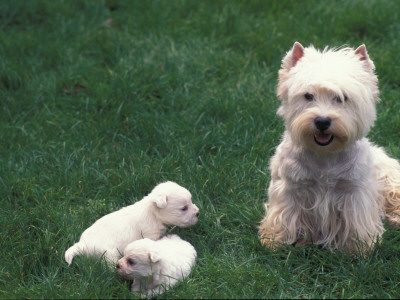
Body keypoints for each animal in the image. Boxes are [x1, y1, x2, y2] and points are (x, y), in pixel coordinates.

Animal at [64, 180, 200, 264]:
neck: (152, 213)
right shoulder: (150, 235)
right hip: (109, 254)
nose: (198, 213)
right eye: (184, 208)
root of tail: (82, 244)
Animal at [258, 41, 400, 253]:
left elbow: (356, 223)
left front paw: (359, 248)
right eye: (308, 96)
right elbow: (285, 216)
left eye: (342, 98)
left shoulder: (353, 192)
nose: (322, 121)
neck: (325, 155)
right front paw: (275, 241)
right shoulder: (291, 188)